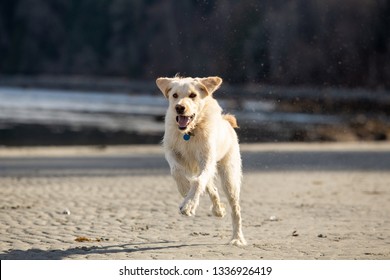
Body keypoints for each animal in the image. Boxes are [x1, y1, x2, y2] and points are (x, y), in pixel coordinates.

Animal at [156, 75, 245, 246]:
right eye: (174, 95)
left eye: (193, 95)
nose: (179, 108)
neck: (190, 131)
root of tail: (227, 122)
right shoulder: (171, 151)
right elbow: (176, 170)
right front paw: (184, 188)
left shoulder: (207, 160)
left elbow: (197, 183)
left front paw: (188, 205)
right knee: (212, 188)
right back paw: (218, 210)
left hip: (229, 177)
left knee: (236, 208)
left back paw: (237, 238)